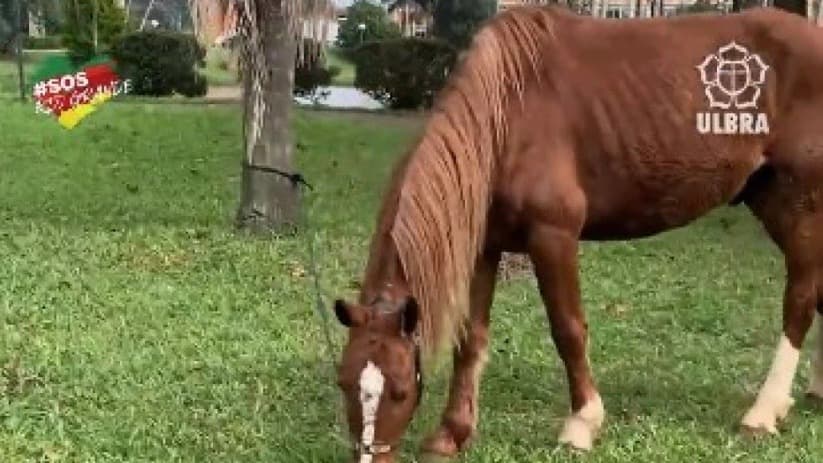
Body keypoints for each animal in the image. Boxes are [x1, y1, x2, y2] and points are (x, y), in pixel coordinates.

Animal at [332, 4, 823, 463]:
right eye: (344, 383)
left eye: (399, 389)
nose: (369, 456)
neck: (507, 114)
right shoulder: (485, 246)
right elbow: (471, 339)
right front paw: (451, 433)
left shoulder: (553, 235)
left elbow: (568, 329)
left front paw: (582, 423)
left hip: (802, 204)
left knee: (800, 299)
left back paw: (763, 411)